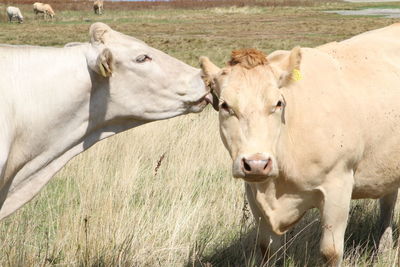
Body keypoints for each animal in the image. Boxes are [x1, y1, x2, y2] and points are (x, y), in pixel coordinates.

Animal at [200, 24, 400, 266]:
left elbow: (331, 252)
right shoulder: (254, 194)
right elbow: (268, 249)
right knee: (388, 200)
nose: (257, 163)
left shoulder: (338, 185)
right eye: (225, 105)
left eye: (278, 103)